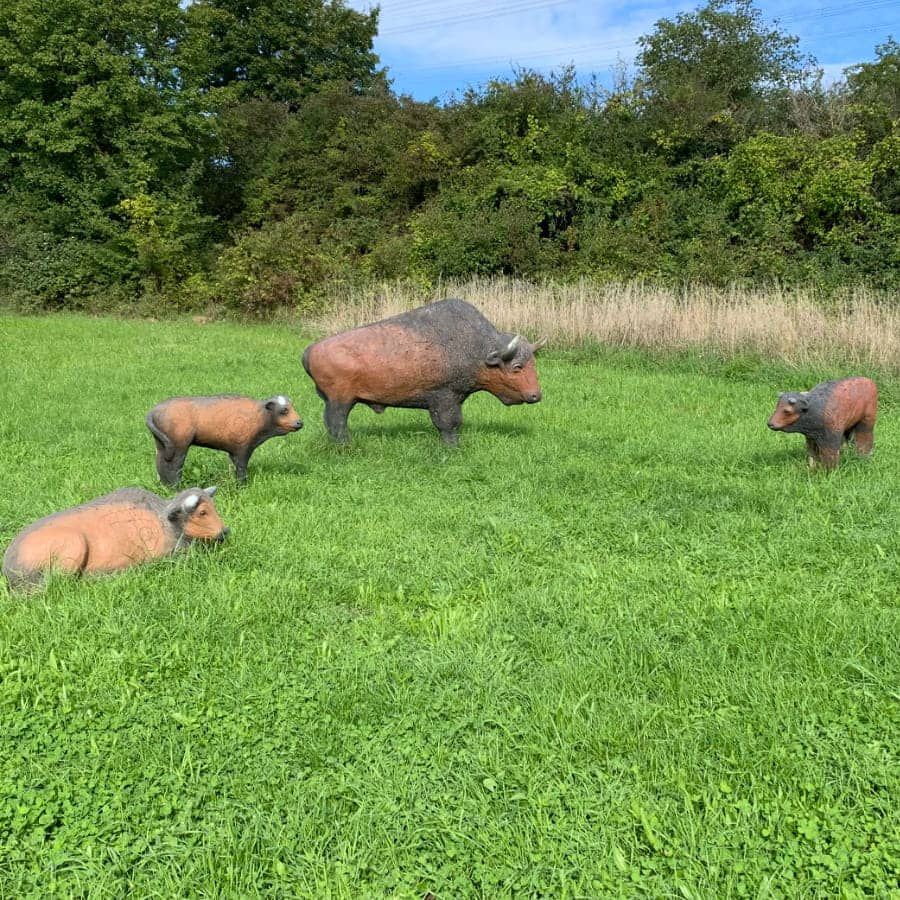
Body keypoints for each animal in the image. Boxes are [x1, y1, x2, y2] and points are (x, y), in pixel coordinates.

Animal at [3, 488, 227, 596]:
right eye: (202, 512)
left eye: (214, 506)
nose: (225, 531)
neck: (163, 520)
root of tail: (8, 568)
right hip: (73, 545)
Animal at [146, 396, 302, 486]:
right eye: (284, 410)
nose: (300, 422)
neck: (259, 415)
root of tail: (153, 411)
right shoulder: (243, 449)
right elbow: (241, 468)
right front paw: (242, 486)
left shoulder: (233, 451)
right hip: (179, 446)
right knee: (174, 466)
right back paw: (177, 487)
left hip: (161, 445)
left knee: (160, 464)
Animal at [300, 298, 548, 444]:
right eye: (517, 366)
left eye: (534, 363)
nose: (535, 395)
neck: (477, 348)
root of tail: (310, 350)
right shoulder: (444, 397)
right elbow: (448, 423)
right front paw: (451, 448)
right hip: (340, 401)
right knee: (337, 423)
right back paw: (347, 446)